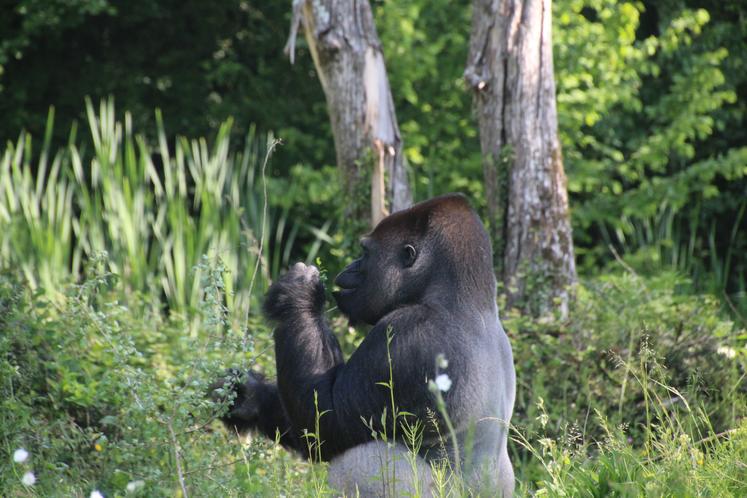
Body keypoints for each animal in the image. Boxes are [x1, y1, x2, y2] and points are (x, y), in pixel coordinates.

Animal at [218, 193, 516, 496]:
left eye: (364, 253)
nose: (349, 266)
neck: (463, 297)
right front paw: (246, 396)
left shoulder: (407, 335)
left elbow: (325, 424)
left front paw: (297, 293)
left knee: (364, 456)